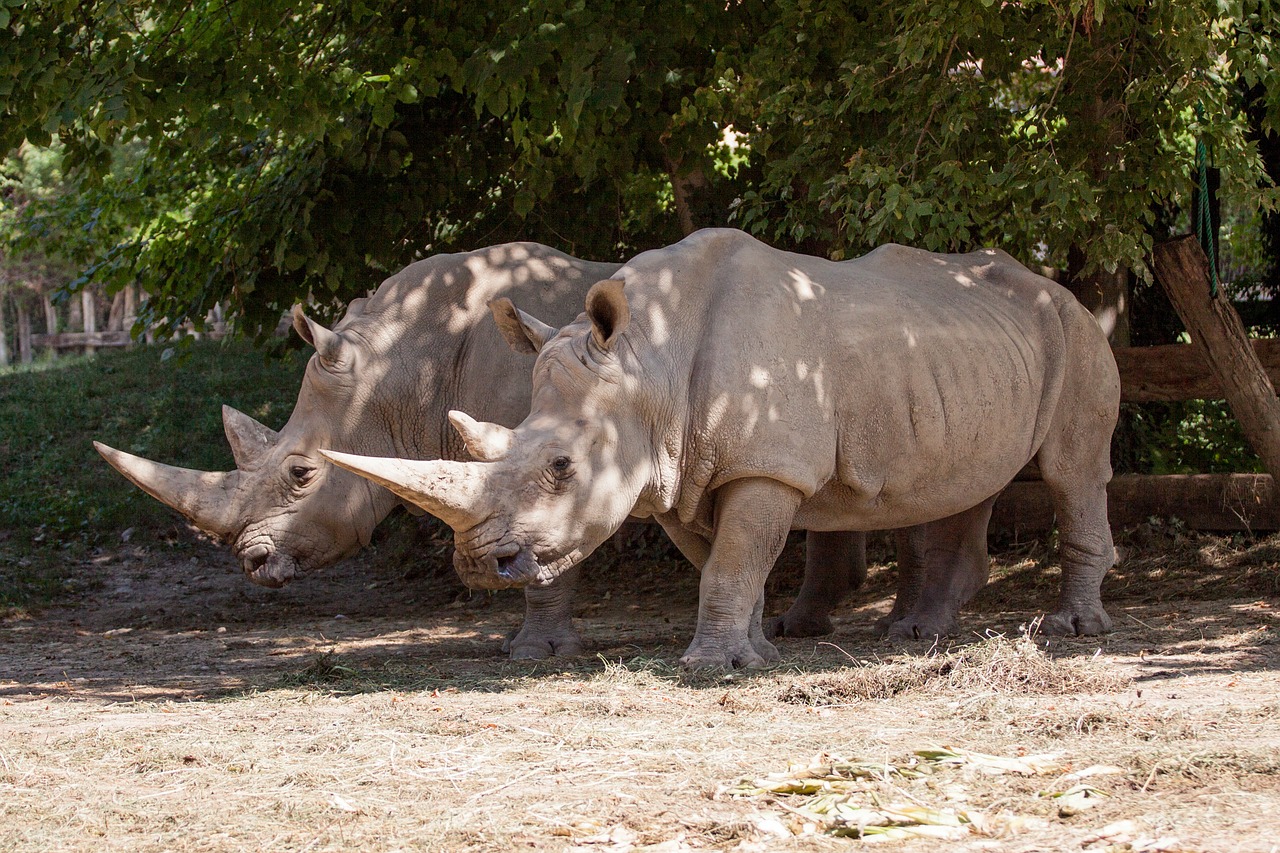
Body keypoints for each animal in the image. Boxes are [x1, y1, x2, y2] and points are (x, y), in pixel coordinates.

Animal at [94, 239, 865, 655]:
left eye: (301, 472)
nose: (251, 563)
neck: (397, 371)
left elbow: (545, 551)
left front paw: (536, 651)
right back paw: (808, 623)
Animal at [322, 229, 1121, 666]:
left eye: (562, 468)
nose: (482, 568)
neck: (647, 364)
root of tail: (1062, 289)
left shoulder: (766, 467)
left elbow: (735, 557)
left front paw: (711, 664)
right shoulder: (679, 471)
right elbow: (727, 561)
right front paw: (754, 652)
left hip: (1075, 333)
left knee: (1072, 471)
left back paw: (1073, 629)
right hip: (964, 355)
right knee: (968, 481)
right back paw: (919, 634)